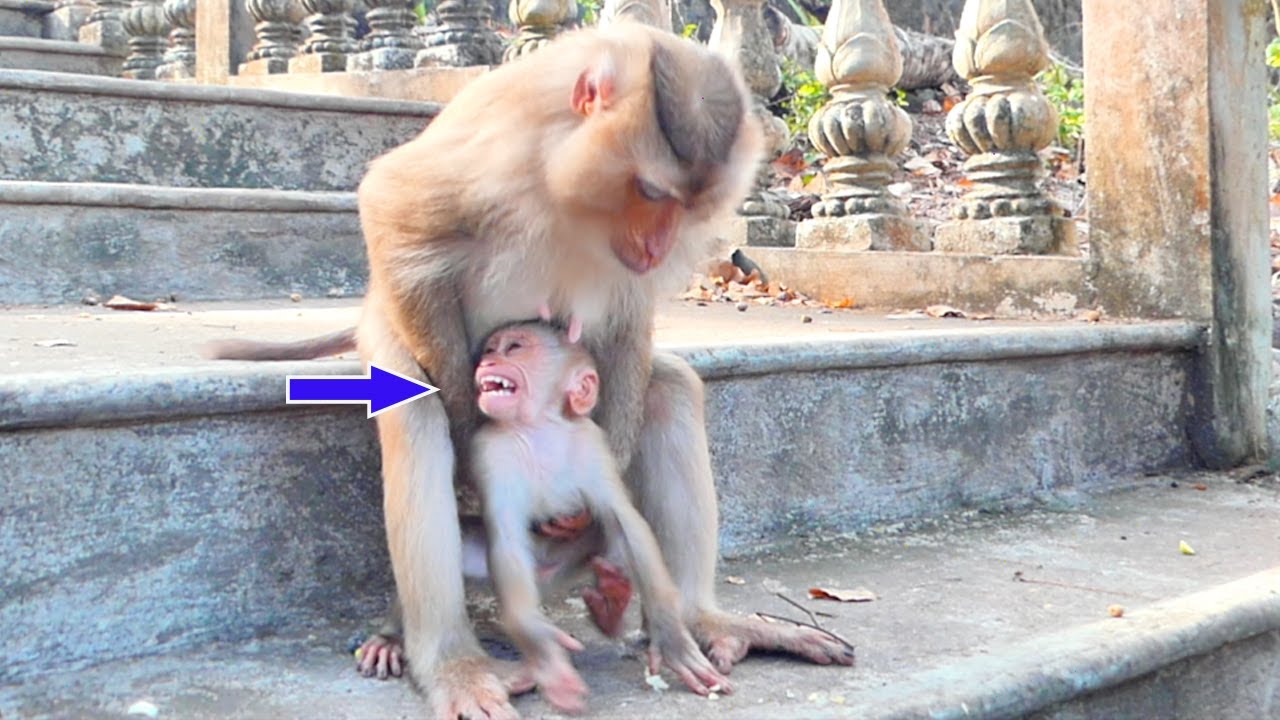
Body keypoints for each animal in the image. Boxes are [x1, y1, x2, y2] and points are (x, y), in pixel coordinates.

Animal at [470, 321, 731, 712]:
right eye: (490, 348)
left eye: (514, 347)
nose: (487, 360)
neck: (540, 427)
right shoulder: (492, 452)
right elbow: (507, 537)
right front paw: (545, 653)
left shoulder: (592, 443)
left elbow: (625, 520)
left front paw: (671, 636)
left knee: (603, 533)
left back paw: (611, 601)